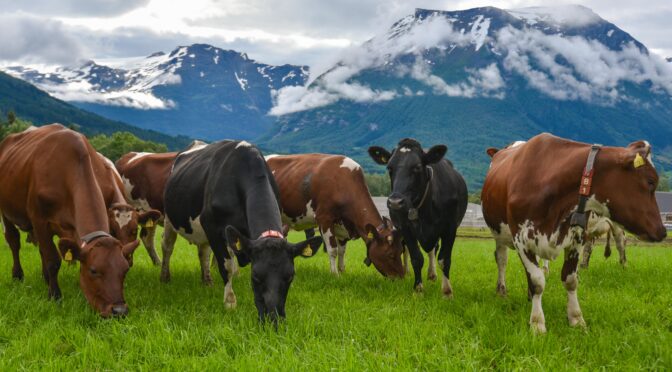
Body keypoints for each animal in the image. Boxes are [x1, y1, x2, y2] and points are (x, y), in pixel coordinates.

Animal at [0, 125, 140, 316]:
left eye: (124, 270)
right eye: (93, 270)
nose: (119, 310)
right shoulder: (40, 220)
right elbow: (53, 260)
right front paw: (55, 296)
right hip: (5, 211)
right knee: (14, 241)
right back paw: (18, 275)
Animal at [162, 140, 320, 322]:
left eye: (290, 277)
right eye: (255, 277)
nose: (273, 318)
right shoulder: (211, 226)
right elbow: (227, 266)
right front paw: (230, 302)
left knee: (203, 253)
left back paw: (207, 281)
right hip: (169, 218)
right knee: (167, 247)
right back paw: (165, 277)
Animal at [266, 153, 404, 278]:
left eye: (401, 251)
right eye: (390, 254)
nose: (401, 278)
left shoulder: (343, 225)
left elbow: (342, 251)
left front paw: (342, 271)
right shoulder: (324, 219)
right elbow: (333, 250)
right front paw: (334, 274)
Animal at [368, 138, 468, 298]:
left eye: (417, 167)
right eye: (389, 168)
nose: (395, 202)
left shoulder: (450, 228)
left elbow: (444, 259)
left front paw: (447, 291)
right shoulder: (406, 228)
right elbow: (416, 258)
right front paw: (418, 289)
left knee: (433, 250)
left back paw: (432, 274)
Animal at [484, 134, 668, 334]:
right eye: (650, 181)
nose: (663, 231)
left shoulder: (576, 238)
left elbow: (570, 280)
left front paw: (576, 319)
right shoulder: (522, 240)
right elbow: (537, 280)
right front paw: (537, 322)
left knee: (619, 243)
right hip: (499, 233)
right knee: (502, 260)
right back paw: (502, 290)